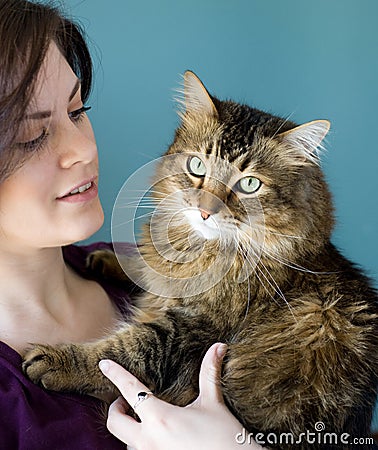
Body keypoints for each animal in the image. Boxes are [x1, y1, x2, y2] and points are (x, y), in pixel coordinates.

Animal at [23, 72, 378, 448]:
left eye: (249, 184)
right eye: (197, 166)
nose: (206, 210)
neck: (199, 249)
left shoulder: (187, 332)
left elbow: (121, 352)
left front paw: (57, 360)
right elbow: (146, 263)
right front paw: (108, 258)